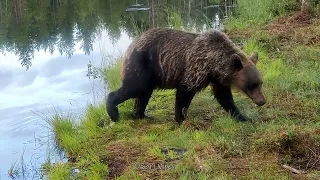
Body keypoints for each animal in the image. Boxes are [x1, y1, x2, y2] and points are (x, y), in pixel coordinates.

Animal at [106, 27, 266, 124]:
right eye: (252, 85)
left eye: (260, 83)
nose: (262, 101)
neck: (213, 64)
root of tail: (132, 43)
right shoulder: (195, 69)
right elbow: (184, 93)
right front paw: (181, 118)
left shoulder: (218, 79)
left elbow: (225, 98)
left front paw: (243, 117)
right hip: (142, 64)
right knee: (134, 87)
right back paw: (114, 113)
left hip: (150, 75)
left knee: (143, 95)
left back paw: (142, 115)